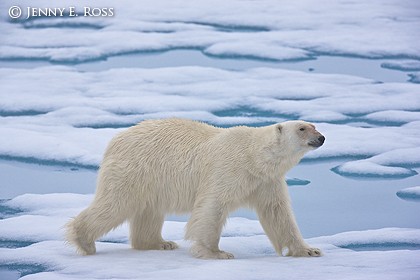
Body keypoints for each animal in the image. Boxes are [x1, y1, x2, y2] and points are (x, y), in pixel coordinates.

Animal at [65, 118, 324, 258]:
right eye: (302, 128)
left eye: (314, 125)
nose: (322, 137)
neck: (254, 156)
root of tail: (115, 140)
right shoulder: (228, 169)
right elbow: (212, 207)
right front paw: (216, 253)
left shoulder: (265, 181)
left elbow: (277, 212)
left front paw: (309, 250)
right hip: (134, 170)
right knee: (115, 204)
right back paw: (84, 240)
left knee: (148, 211)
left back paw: (159, 243)